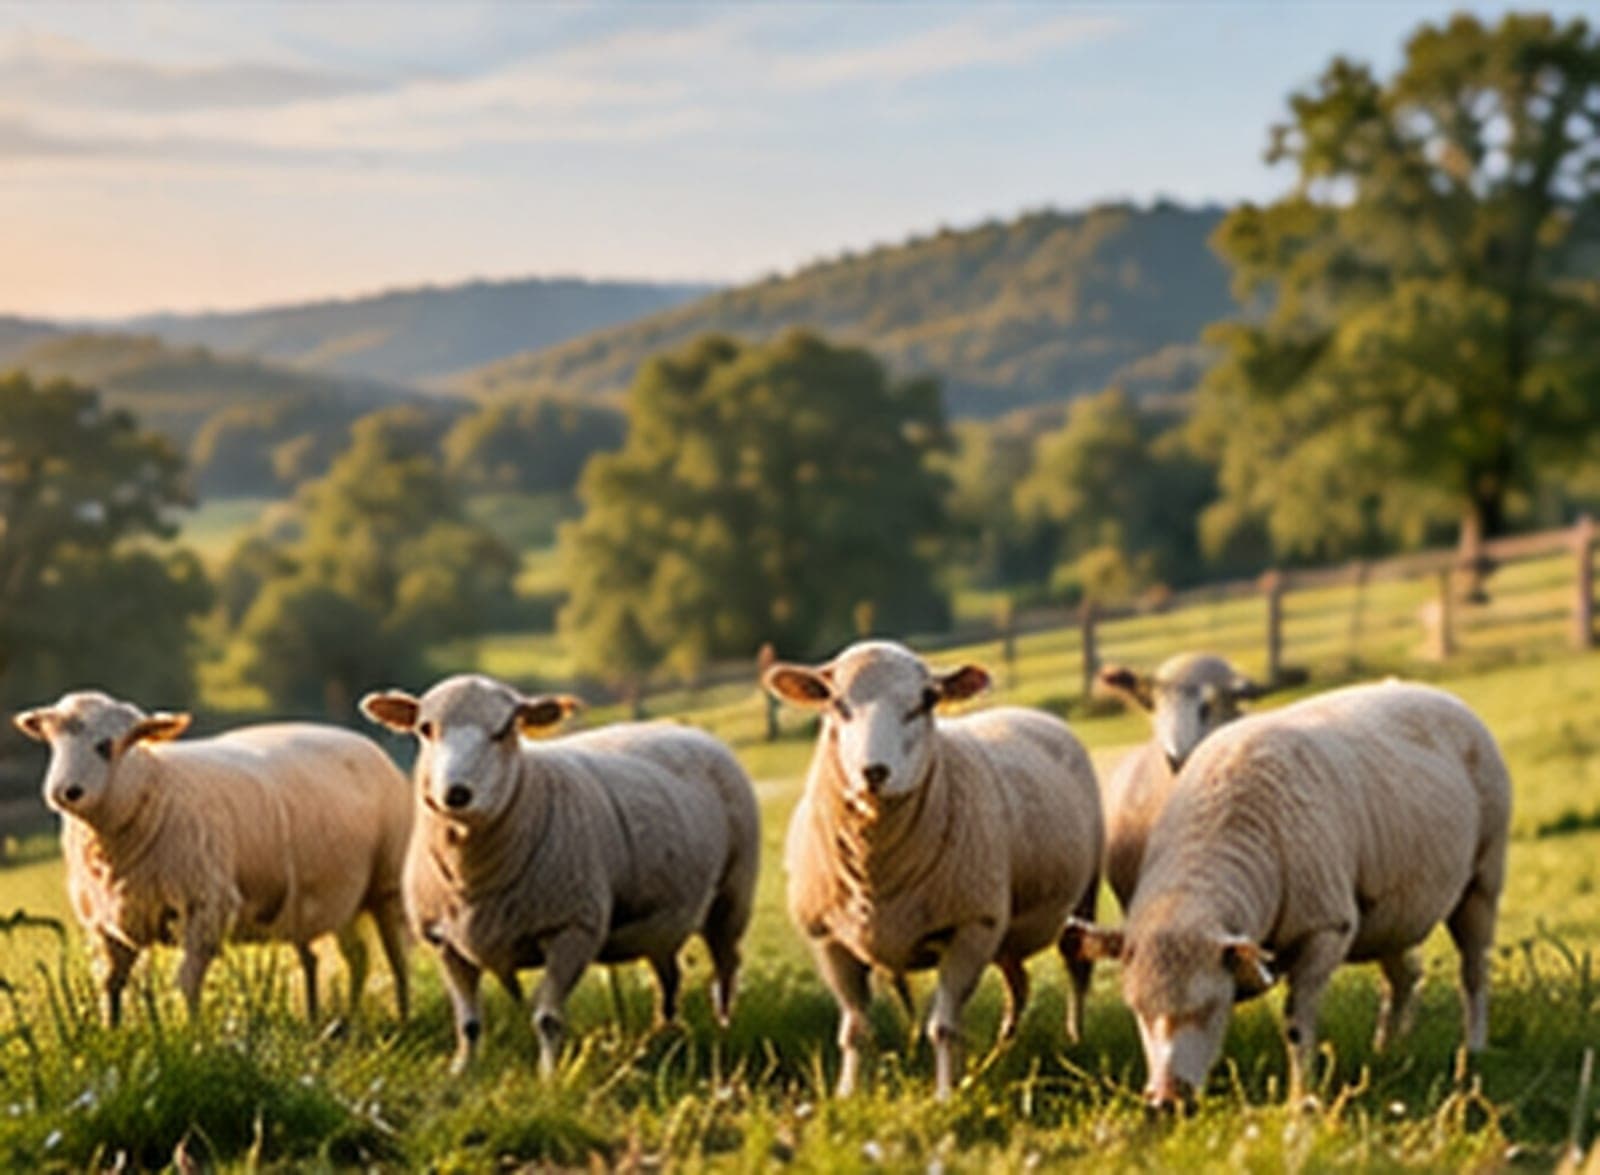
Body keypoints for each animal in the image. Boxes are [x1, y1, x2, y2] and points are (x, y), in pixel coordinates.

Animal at [14, 690, 413, 1025]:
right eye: (53, 743)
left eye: (105, 745)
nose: (64, 792)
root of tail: (357, 738)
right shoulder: (105, 922)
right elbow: (111, 984)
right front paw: (111, 1034)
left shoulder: (205, 903)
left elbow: (187, 983)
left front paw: (192, 1039)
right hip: (329, 898)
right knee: (344, 957)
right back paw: (332, 1020)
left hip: (387, 883)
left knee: (395, 957)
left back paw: (403, 1017)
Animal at [360, 674, 760, 1074]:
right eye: (425, 728)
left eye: (506, 729)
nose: (456, 794)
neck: (473, 873)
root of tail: (683, 729)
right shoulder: (445, 942)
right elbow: (468, 1022)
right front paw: (462, 1071)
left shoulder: (571, 930)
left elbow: (548, 1019)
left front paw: (549, 1077)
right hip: (662, 921)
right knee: (669, 974)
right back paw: (664, 1031)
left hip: (732, 895)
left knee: (726, 968)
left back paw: (723, 1025)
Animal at [767, 639, 1103, 1100]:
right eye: (836, 703)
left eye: (926, 701)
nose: (875, 772)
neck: (876, 872)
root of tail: (1027, 712)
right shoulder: (828, 939)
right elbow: (854, 1030)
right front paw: (846, 1095)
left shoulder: (971, 926)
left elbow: (943, 1028)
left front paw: (945, 1097)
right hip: (1002, 931)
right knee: (1018, 985)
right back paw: (1001, 1050)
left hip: (1081, 896)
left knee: (1077, 968)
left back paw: (1074, 1038)